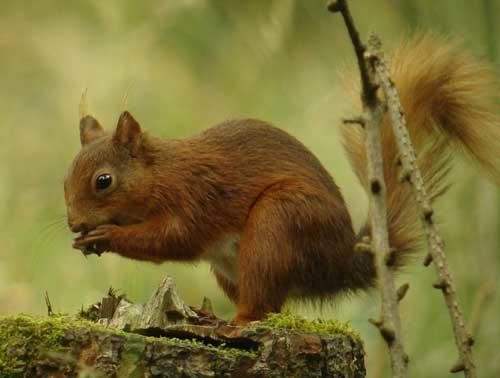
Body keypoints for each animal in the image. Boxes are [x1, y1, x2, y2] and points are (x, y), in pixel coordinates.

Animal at [65, 36, 500, 324]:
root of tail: (339, 261)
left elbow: (171, 239)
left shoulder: (196, 197)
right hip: (234, 266)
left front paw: (106, 236)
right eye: (66, 179)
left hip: (278, 224)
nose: (73, 223)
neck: (162, 173)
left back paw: (232, 326)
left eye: (103, 181)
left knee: (261, 307)